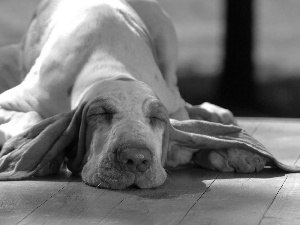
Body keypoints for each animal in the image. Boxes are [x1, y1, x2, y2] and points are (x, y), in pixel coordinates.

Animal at [0, 0, 298, 189]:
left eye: (157, 118)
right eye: (100, 113)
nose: (136, 160)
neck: (108, 65)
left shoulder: (172, 108)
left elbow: (188, 134)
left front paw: (228, 153)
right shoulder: (16, 99)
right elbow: (31, 116)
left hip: (166, 35)